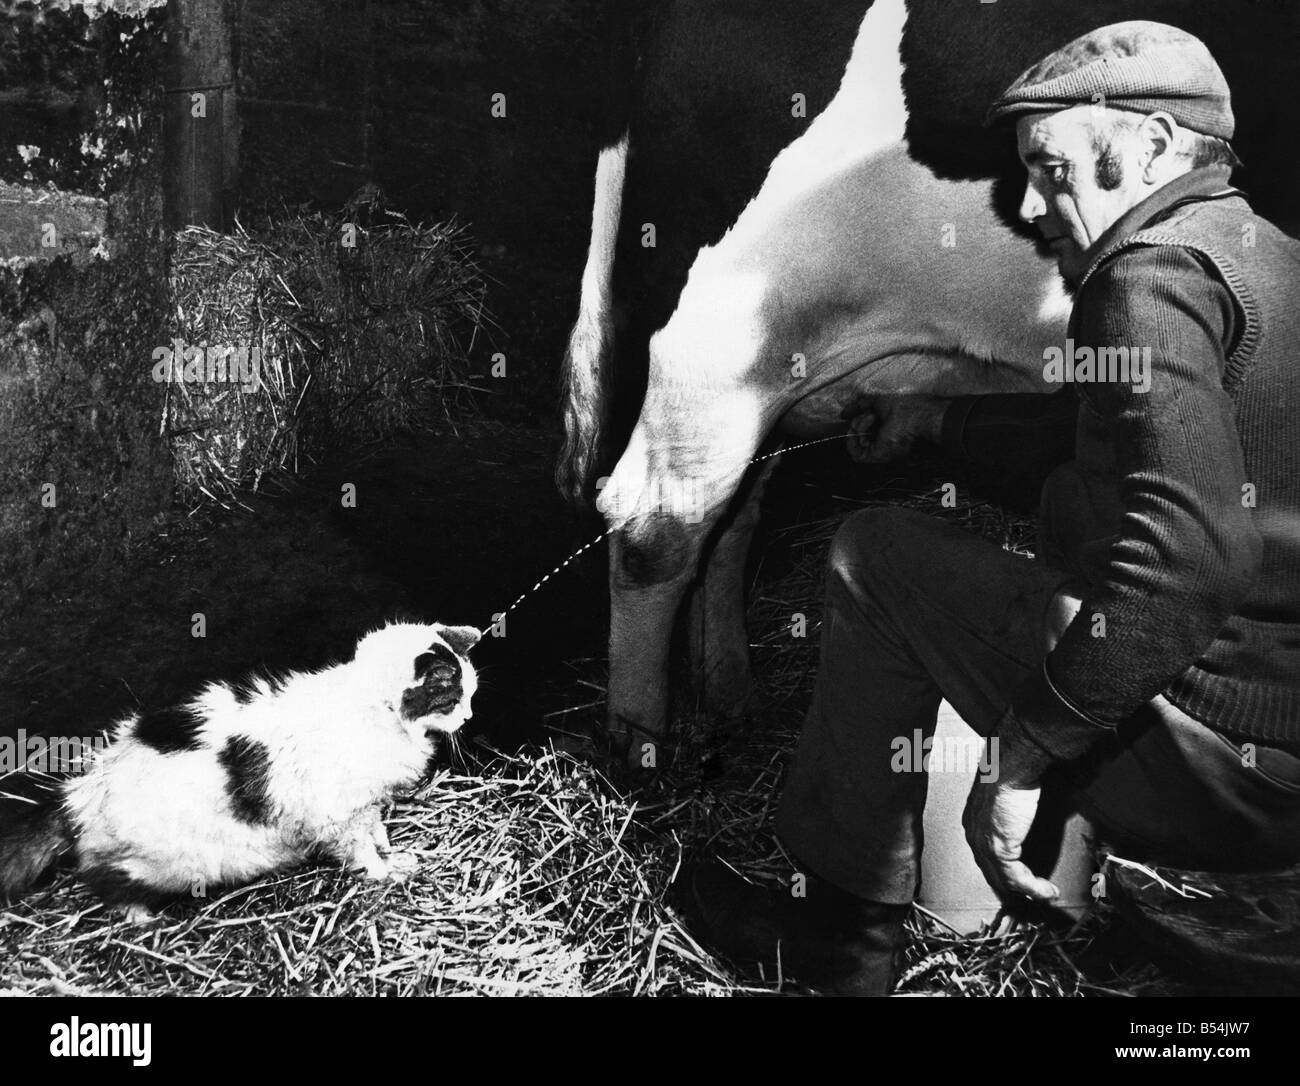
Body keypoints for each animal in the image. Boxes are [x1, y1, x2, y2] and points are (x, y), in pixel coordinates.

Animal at [0, 619, 480, 915]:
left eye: (472, 695)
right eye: (454, 699)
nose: (470, 717)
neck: (375, 712)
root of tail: (82, 789)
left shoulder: (365, 804)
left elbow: (376, 828)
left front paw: (388, 849)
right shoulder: (338, 817)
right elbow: (362, 853)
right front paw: (385, 871)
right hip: (165, 863)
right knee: (102, 879)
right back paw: (140, 917)